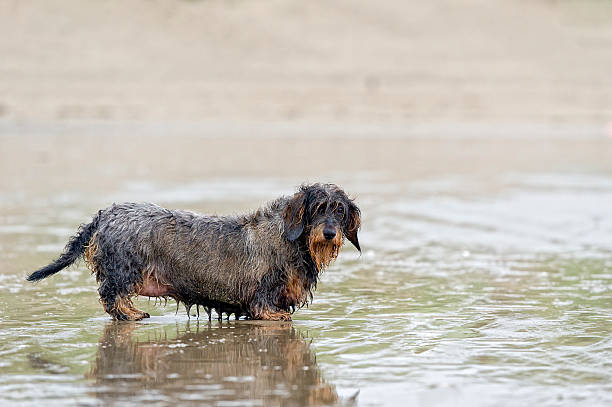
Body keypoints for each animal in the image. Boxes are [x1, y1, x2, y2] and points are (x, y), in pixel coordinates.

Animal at [28, 184, 360, 322]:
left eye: (339, 211)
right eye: (318, 208)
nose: (329, 234)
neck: (287, 236)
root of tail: (105, 214)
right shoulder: (264, 285)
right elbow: (263, 303)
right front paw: (273, 315)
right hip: (124, 269)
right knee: (111, 296)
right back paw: (130, 313)